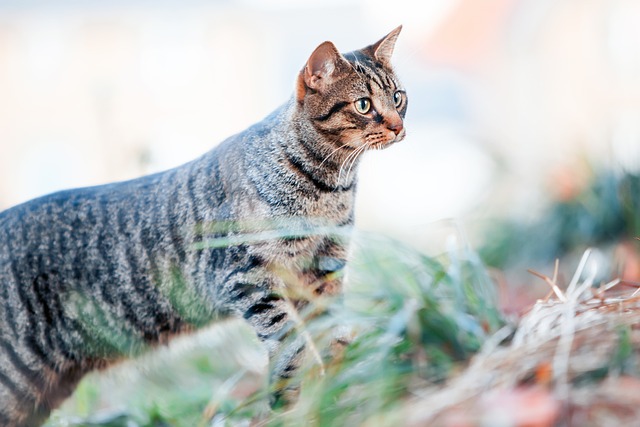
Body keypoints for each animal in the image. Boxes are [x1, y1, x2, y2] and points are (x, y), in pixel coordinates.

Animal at [0, 26, 408, 427]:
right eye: (364, 105)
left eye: (398, 97)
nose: (399, 126)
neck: (330, 187)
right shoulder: (246, 278)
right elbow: (292, 343)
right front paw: (292, 403)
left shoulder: (324, 269)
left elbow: (334, 332)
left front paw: (342, 386)